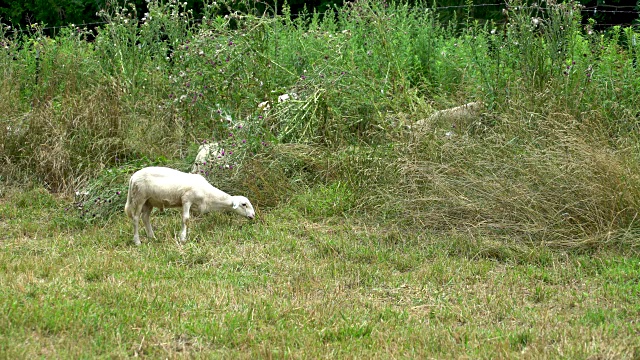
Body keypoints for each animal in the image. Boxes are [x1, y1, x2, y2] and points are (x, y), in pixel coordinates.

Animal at [122, 166, 255, 245]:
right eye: (244, 204)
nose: (253, 215)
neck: (208, 195)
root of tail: (133, 177)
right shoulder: (186, 199)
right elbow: (186, 219)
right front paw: (182, 239)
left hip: (149, 201)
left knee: (145, 217)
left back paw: (152, 237)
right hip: (139, 197)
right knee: (136, 218)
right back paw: (137, 241)